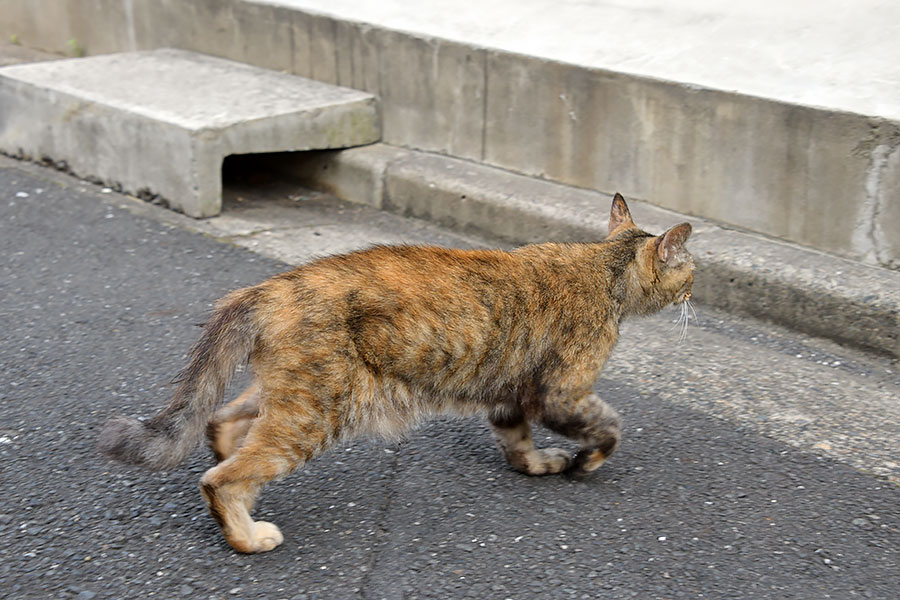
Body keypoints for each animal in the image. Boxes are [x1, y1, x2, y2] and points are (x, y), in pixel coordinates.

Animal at [98, 193, 692, 552]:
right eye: (690, 269)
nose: (695, 289)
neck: (606, 267)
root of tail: (267, 289)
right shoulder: (562, 392)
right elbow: (609, 428)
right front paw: (587, 461)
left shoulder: (509, 393)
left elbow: (517, 441)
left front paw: (539, 464)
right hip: (320, 410)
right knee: (222, 477)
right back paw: (245, 532)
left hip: (294, 394)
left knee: (222, 423)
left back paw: (236, 481)